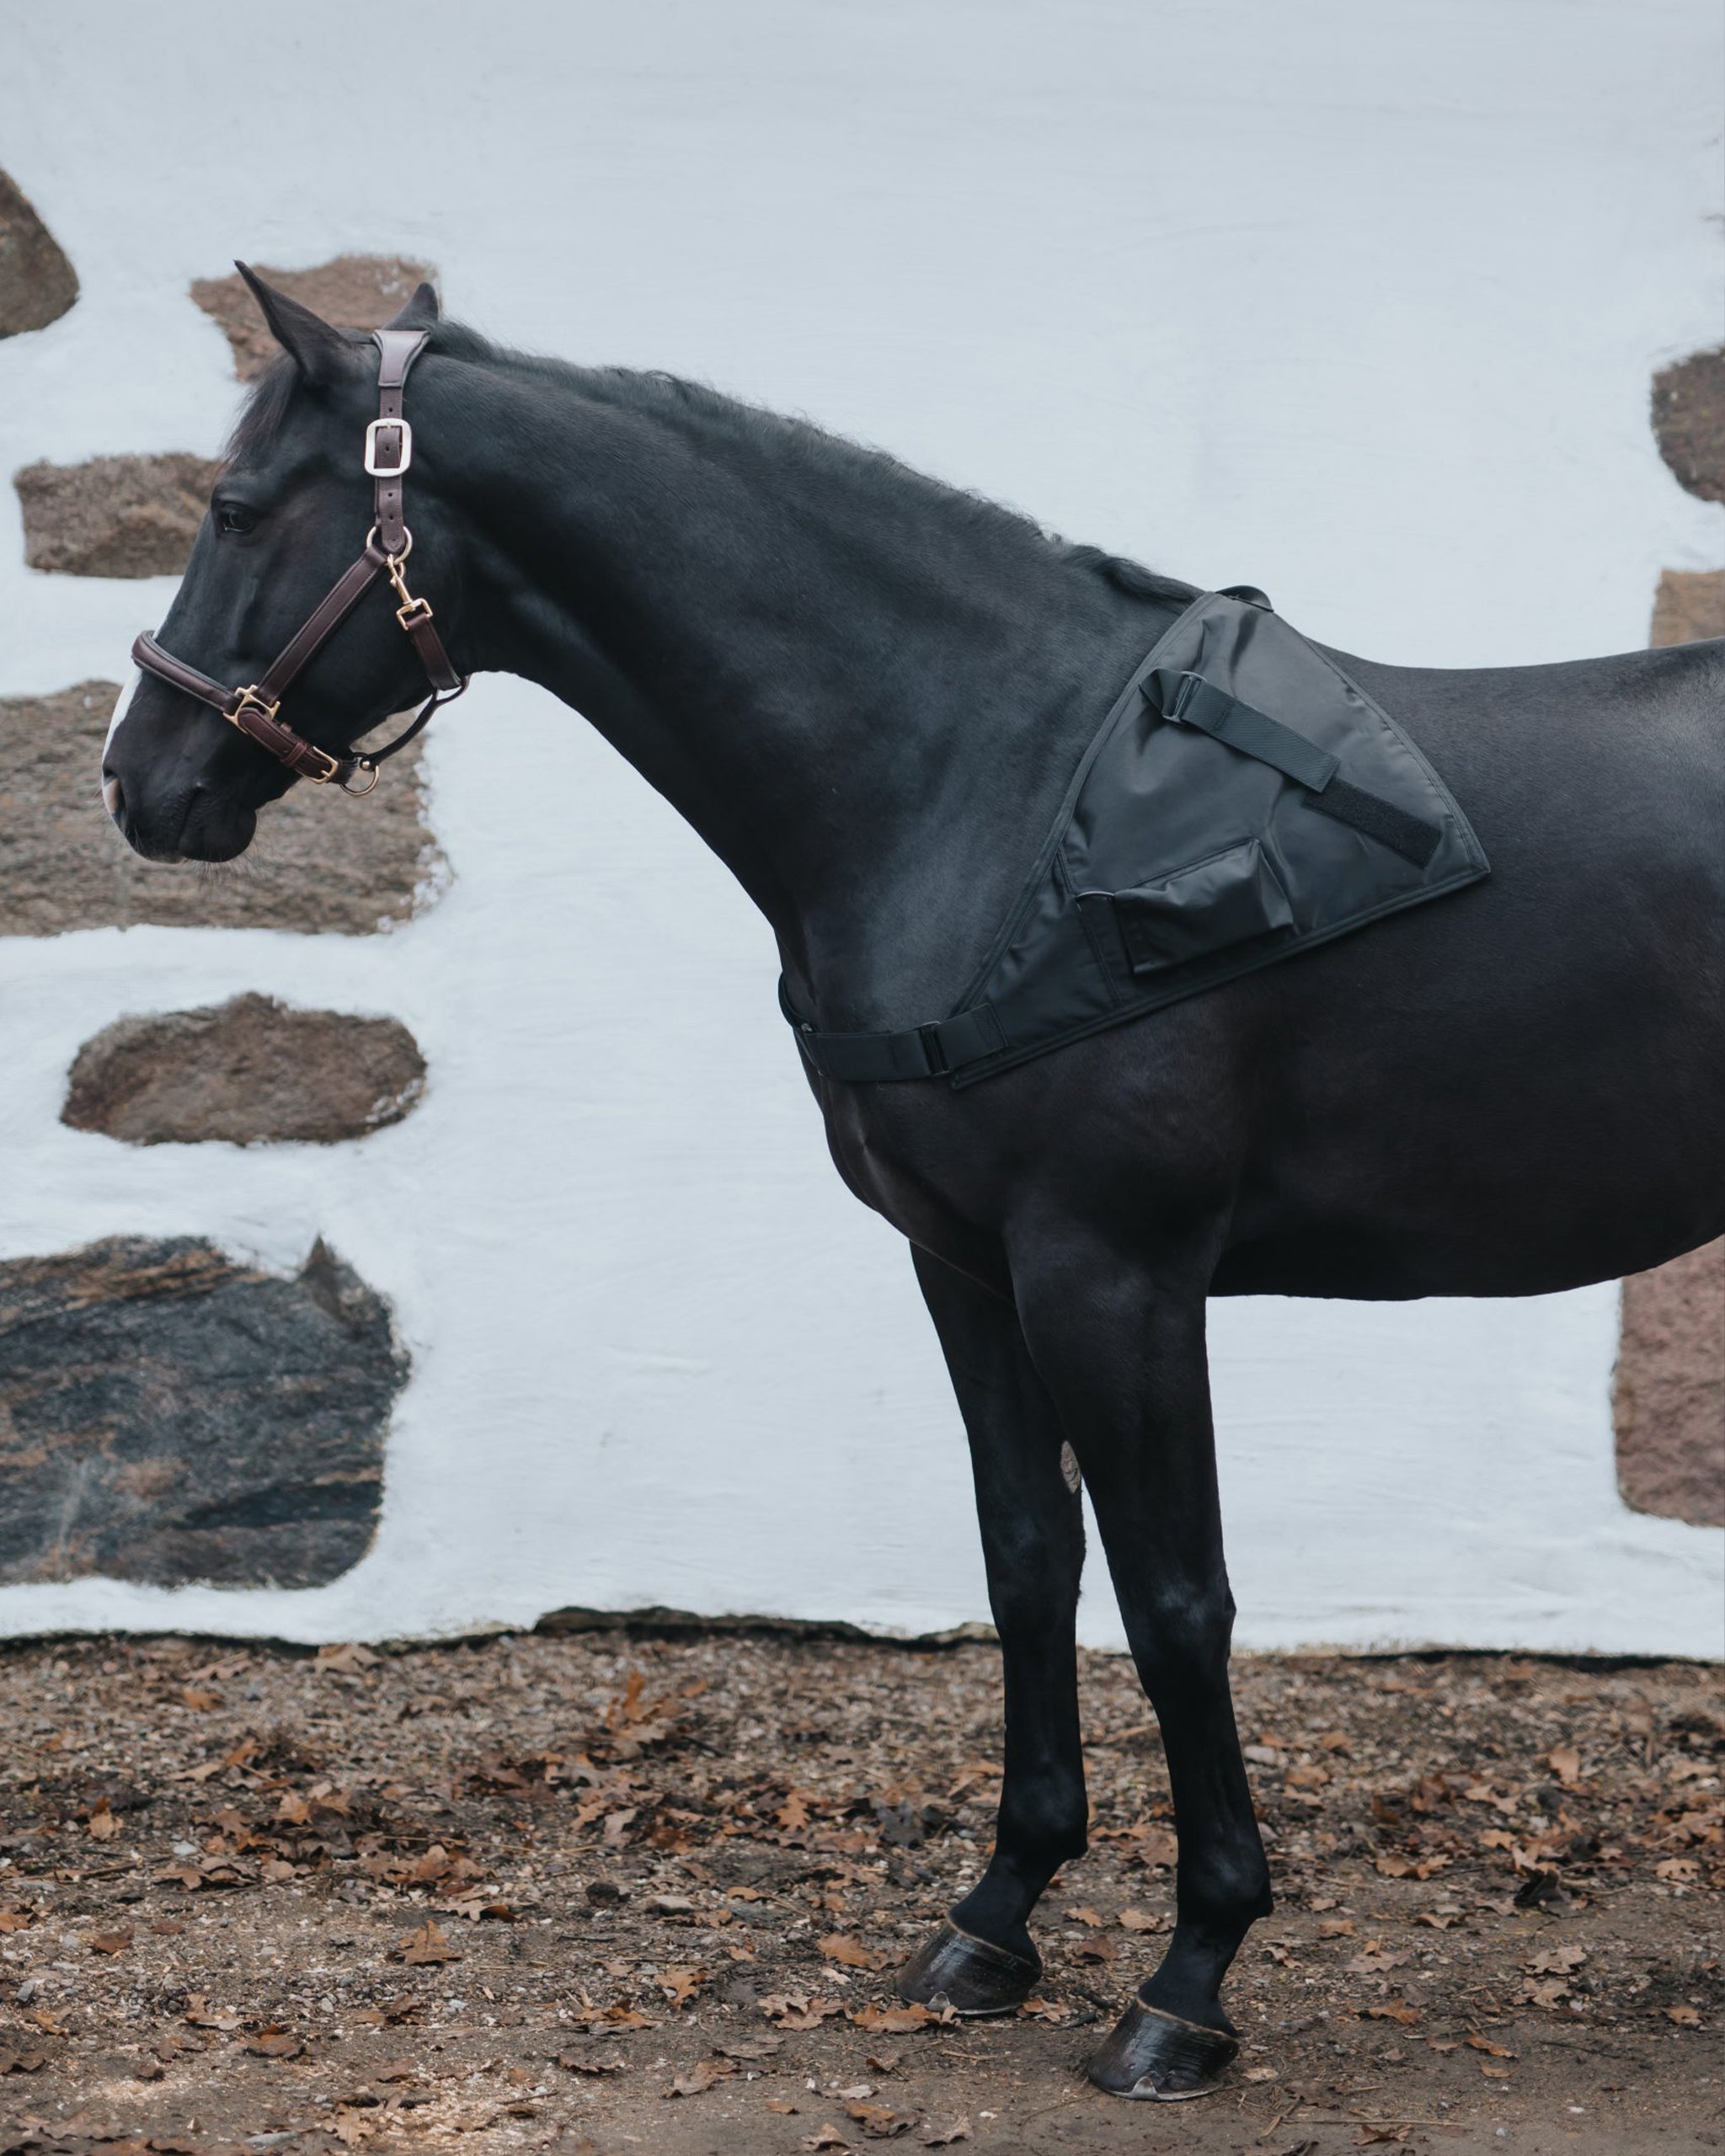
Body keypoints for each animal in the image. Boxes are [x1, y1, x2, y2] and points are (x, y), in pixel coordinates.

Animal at [102, 271, 1724, 2099]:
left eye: (237, 507)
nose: (140, 780)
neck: (995, 785)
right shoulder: (967, 1264)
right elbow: (1026, 1559)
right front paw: (996, 1917)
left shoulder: (1113, 1268)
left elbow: (1175, 1596)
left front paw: (1188, 1974)